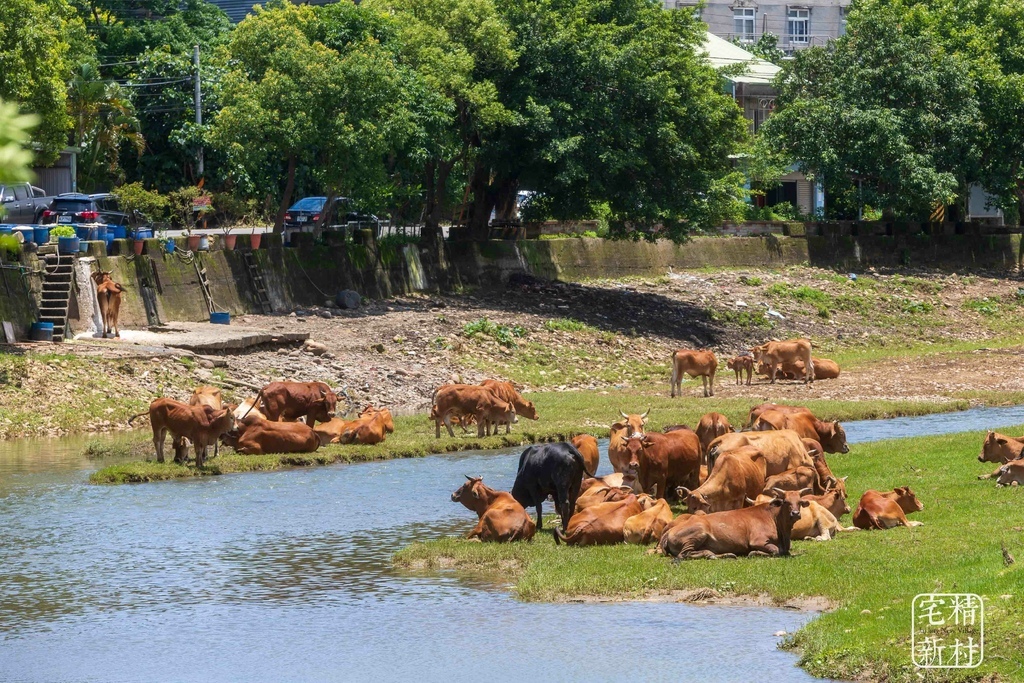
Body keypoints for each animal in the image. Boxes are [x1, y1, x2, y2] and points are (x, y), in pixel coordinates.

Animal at [659, 491, 811, 561]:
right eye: (786, 502)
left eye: (799, 502)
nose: (795, 513)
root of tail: (668, 531)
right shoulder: (758, 540)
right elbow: (776, 550)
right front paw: (753, 553)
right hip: (698, 533)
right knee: (684, 554)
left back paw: (726, 554)